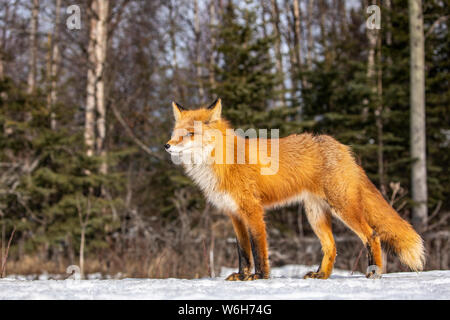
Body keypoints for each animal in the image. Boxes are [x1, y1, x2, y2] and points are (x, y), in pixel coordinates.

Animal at [164, 98, 426, 280]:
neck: (224, 162)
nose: (166, 146)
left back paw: (373, 272)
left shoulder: (253, 211)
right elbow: (243, 251)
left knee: (372, 235)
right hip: (315, 215)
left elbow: (258, 249)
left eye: (190, 134)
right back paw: (321, 275)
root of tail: (342, 147)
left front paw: (259, 277)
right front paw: (242, 275)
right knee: (332, 246)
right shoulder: (234, 214)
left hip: (343, 208)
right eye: (176, 134)